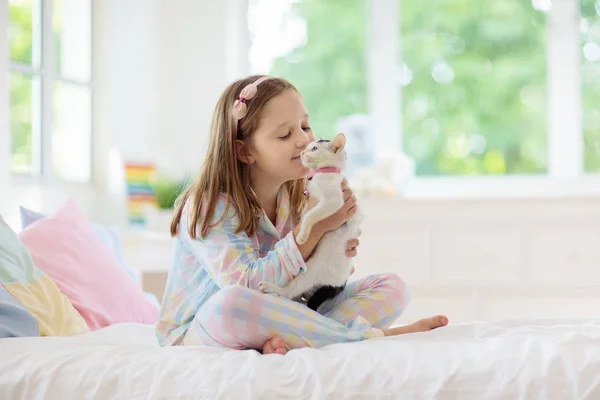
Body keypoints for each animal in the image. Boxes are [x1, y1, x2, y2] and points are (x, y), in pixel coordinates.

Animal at [256, 133, 360, 310]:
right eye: (308, 147)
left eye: (314, 148)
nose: (302, 153)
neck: (321, 174)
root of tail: (339, 283)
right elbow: (305, 211)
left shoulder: (334, 201)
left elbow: (310, 215)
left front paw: (302, 235)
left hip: (309, 271)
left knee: (290, 292)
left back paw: (274, 289)